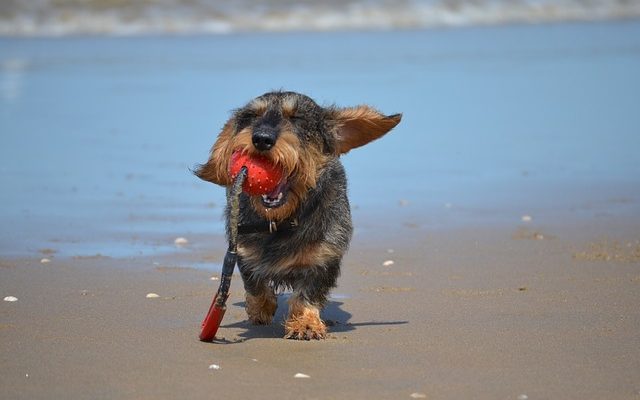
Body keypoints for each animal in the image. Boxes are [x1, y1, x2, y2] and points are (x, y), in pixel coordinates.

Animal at [198, 91, 402, 340]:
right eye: (252, 116)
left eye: (297, 118)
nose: (261, 138)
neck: (280, 221)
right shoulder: (243, 253)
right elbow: (255, 285)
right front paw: (260, 309)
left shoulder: (323, 260)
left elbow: (306, 296)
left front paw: (305, 324)